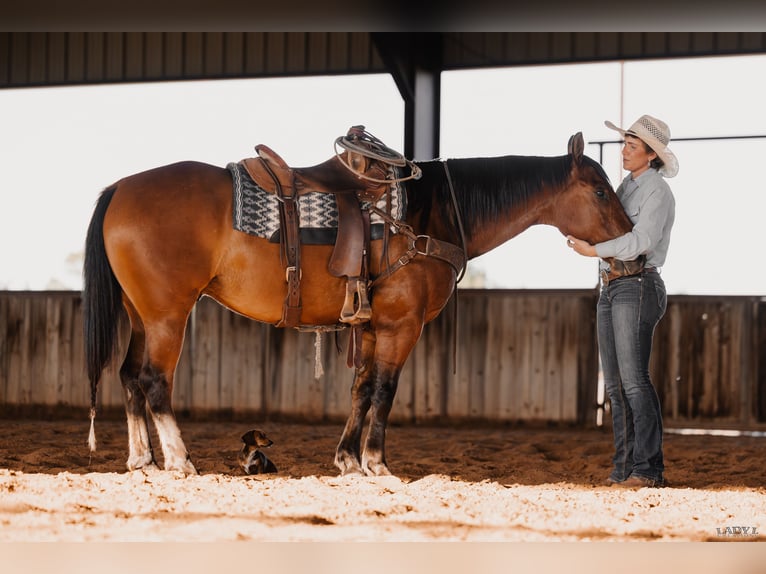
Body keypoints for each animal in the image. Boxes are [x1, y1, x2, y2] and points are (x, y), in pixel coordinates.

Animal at [83, 131, 634, 476]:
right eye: (600, 191)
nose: (633, 236)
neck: (428, 215)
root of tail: (121, 188)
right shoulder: (401, 326)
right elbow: (385, 391)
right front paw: (377, 463)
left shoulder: (370, 327)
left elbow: (360, 390)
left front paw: (347, 460)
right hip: (167, 316)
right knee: (154, 380)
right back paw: (179, 460)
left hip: (141, 315)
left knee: (129, 376)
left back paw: (142, 460)